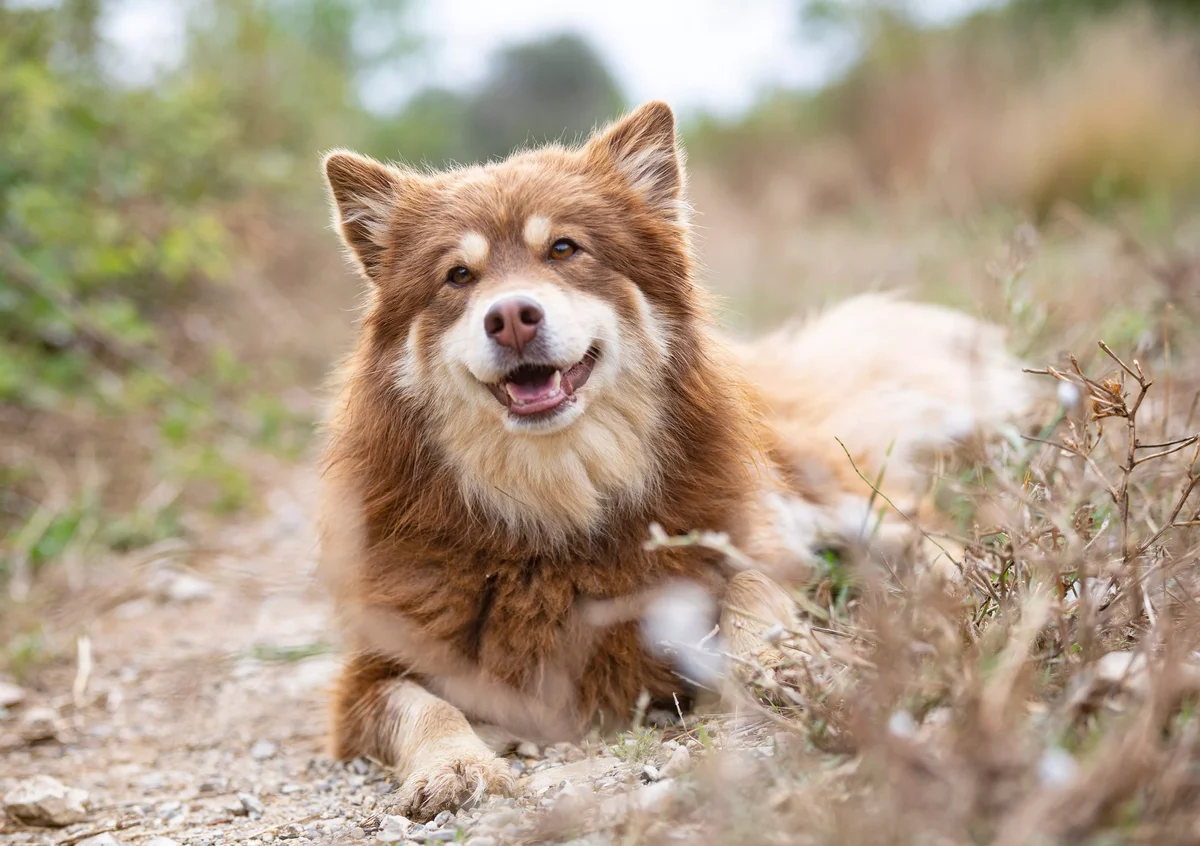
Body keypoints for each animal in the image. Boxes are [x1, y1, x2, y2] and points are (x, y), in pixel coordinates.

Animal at [319, 99, 1032, 816]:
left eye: (564, 249)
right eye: (458, 276)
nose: (513, 316)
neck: (559, 505)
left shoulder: (749, 539)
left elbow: (753, 593)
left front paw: (777, 661)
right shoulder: (371, 676)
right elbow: (422, 707)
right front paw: (456, 764)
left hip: (837, 501)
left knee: (926, 528)